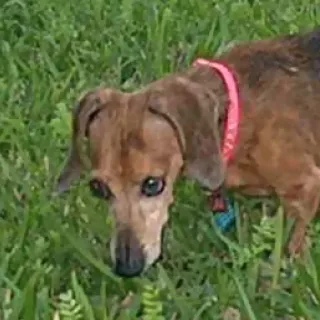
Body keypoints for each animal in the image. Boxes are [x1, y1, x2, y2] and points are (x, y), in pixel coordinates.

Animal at [56, 26, 320, 278]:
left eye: (153, 184)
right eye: (97, 188)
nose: (128, 267)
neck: (235, 114)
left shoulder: (304, 188)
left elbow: (292, 243)